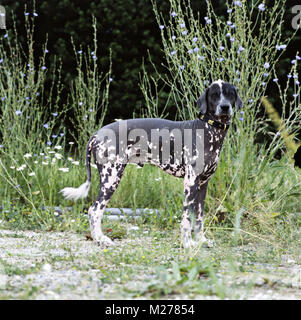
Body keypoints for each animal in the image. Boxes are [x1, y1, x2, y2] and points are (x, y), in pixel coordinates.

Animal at [60, 79, 241, 248]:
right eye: (215, 95)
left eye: (230, 94)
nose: (225, 107)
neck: (206, 130)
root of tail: (97, 134)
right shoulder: (190, 184)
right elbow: (186, 219)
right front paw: (187, 243)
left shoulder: (203, 185)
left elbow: (198, 218)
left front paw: (201, 241)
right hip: (111, 179)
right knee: (94, 210)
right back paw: (100, 239)